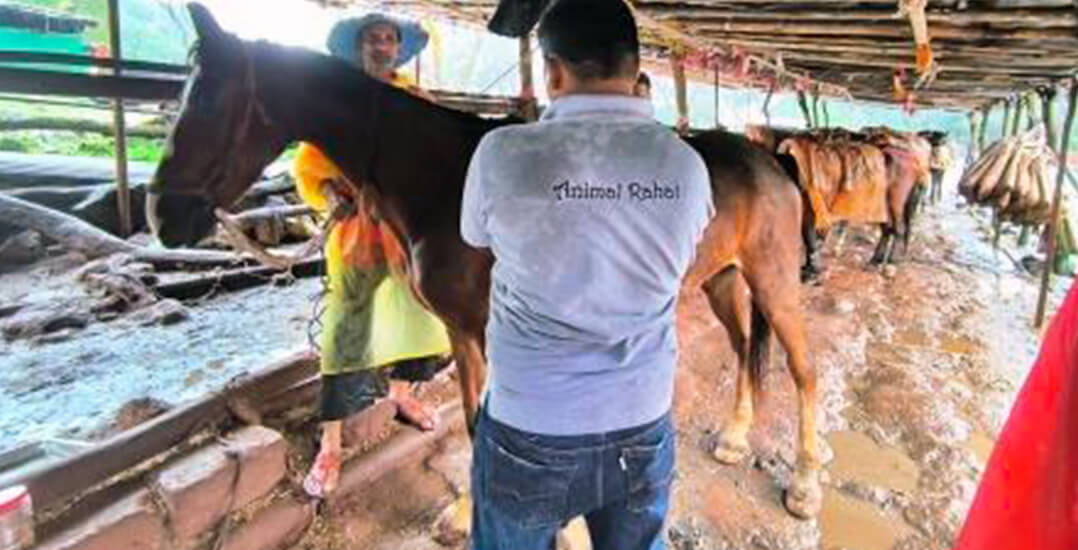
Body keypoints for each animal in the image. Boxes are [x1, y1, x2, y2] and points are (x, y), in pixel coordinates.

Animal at [151, 4, 819, 517]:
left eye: (205, 100)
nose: (163, 216)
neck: (445, 178)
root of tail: (767, 157)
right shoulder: (464, 330)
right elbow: (476, 424)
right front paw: (461, 515)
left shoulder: (495, 331)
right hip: (723, 278)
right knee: (743, 348)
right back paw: (734, 438)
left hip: (775, 279)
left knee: (802, 369)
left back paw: (806, 486)